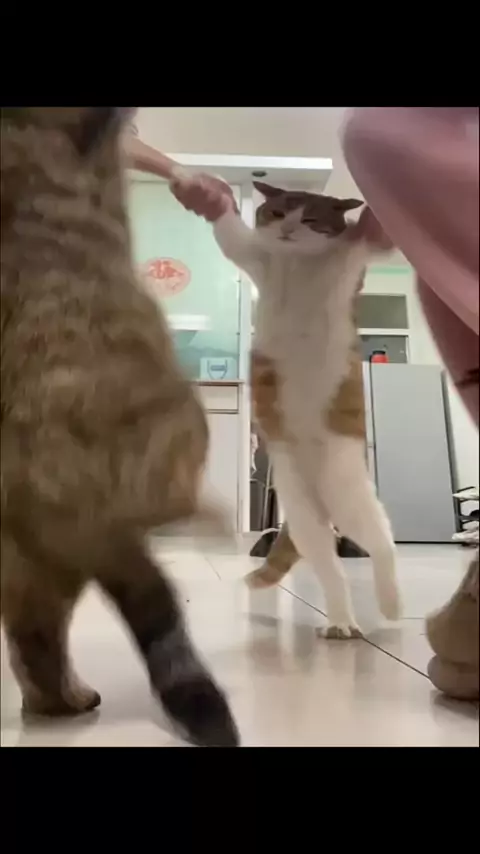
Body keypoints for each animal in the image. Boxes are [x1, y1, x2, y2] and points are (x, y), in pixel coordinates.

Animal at [213, 182, 402, 638]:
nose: (288, 229)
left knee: (382, 541)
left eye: (312, 218)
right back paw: (341, 621)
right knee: (329, 568)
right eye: (278, 212)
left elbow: (373, 241)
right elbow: (231, 236)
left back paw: (390, 603)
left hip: (347, 494)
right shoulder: (255, 257)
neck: (297, 261)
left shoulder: (352, 261)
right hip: (302, 514)